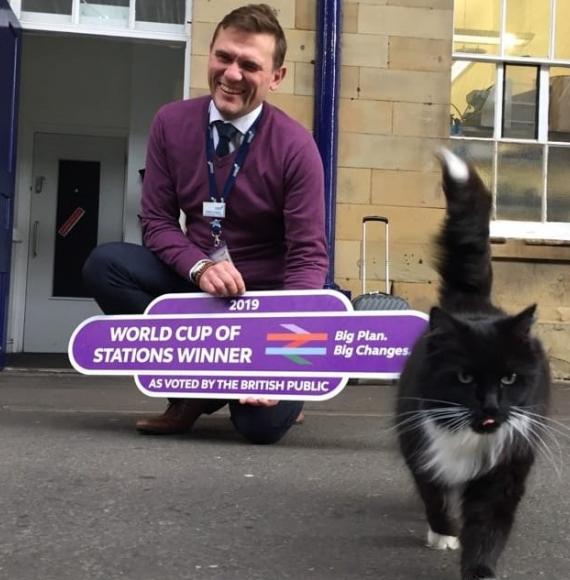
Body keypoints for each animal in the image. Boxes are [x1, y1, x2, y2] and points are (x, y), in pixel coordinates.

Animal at [392, 148, 548, 580]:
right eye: (463, 377)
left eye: (510, 378)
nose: (491, 407)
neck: (468, 436)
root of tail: (472, 304)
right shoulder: (419, 444)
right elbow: (433, 493)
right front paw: (444, 533)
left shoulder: (507, 466)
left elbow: (488, 526)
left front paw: (479, 569)